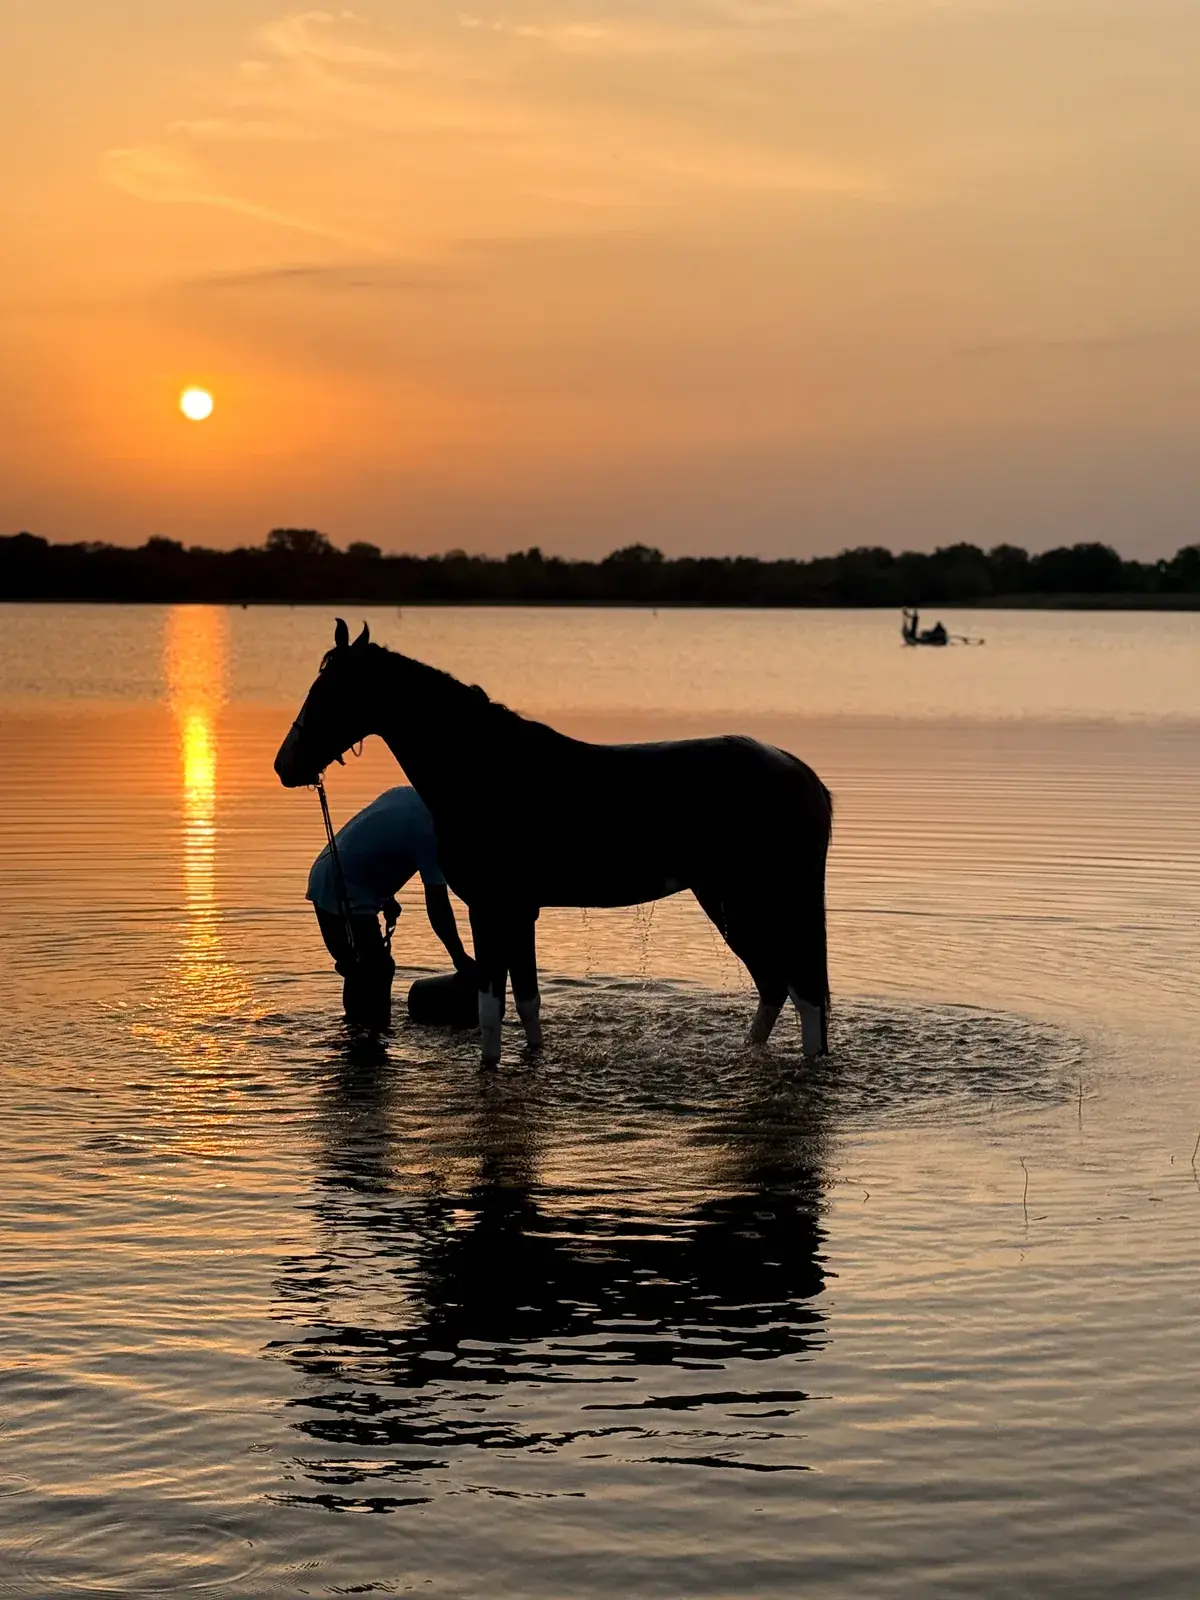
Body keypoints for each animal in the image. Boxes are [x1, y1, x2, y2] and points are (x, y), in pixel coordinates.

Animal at [275, 620, 833, 1067]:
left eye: (328, 691)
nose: (285, 764)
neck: (483, 769)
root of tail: (803, 776)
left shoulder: (492, 908)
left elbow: (492, 1009)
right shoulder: (518, 912)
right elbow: (527, 1003)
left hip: (756, 902)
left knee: (801, 992)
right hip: (727, 902)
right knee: (776, 988)